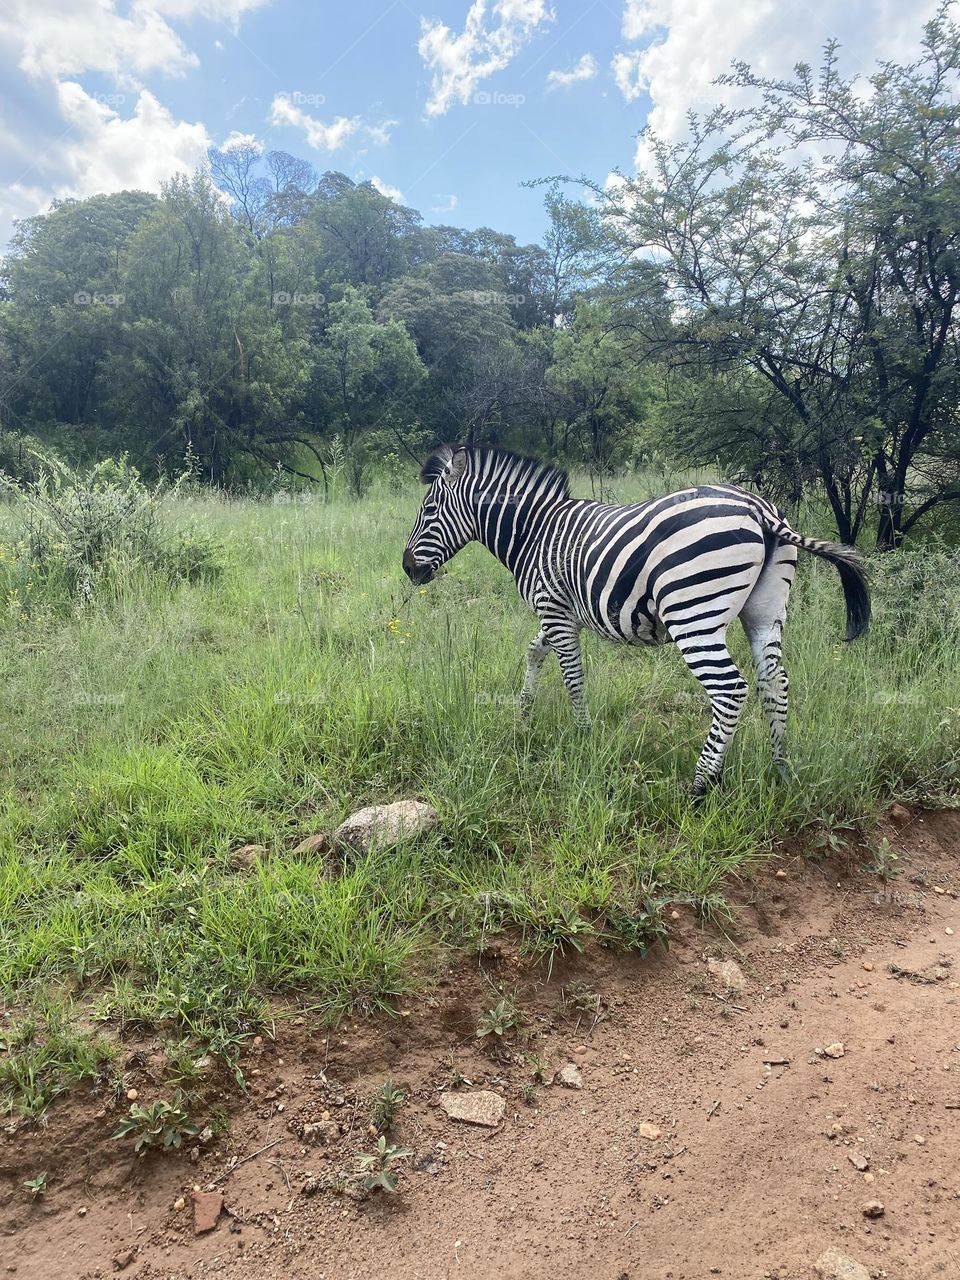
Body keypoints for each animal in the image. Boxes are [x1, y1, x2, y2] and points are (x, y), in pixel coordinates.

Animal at [401, 445, 870, 793]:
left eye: (429, 511)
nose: (407, 569)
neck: (534, 533)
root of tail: (759, 509)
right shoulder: (558, 611)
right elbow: (534, 653)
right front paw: (524, 715)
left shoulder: (554, 610)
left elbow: (572, 676)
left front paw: (583, 735)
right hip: (765, 612)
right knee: (775, 682)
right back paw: (781, 769)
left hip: (693, 615)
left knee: (730, 689)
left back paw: (701, 785)